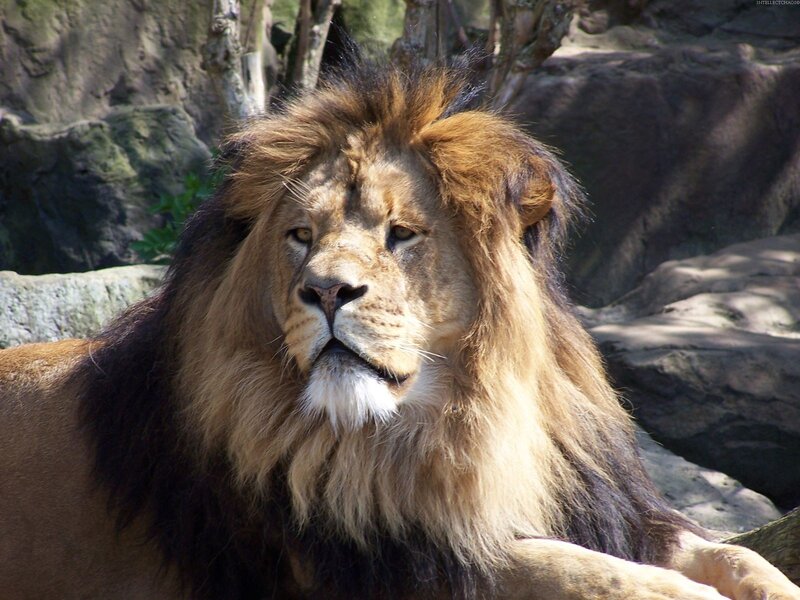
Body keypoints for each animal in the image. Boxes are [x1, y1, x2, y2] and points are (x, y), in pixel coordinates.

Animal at [1, 61, 798, 600]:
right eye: (300, 235)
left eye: (401, 233)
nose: (325, 289)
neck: (462, 419)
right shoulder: (380, 563)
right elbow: (583, 572)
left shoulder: (614, 510)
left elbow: (733, 556)